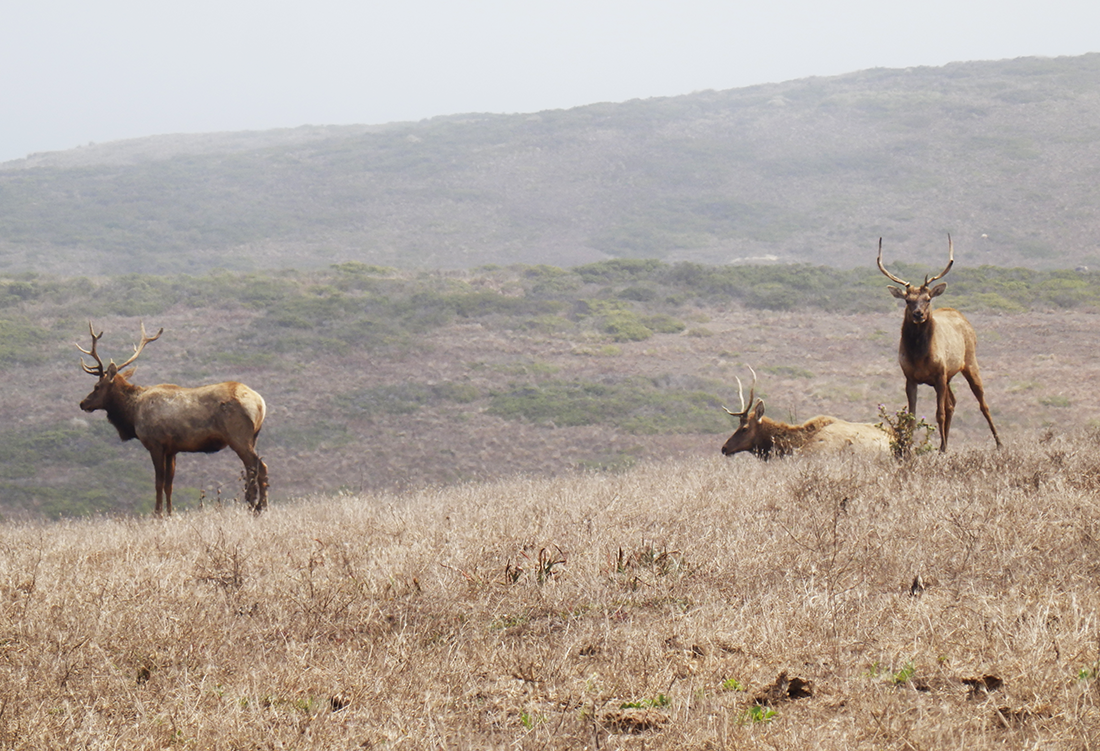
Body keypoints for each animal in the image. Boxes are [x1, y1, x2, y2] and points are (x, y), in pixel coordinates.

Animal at [77, 323, 268, 516]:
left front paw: (157, 514)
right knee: (254, 468)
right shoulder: (172, 449)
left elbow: (158, 482)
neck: (132, 413)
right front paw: (169, 513)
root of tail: (260, 403)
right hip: (253, 437)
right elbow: (169, 484)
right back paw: (258, 505)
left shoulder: (156, 443)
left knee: (258, 466)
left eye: (97, 386)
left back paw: (257, 506)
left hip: (238, 437)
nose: (83, 403)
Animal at [880, 235, 1003, 453]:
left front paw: (943, 448)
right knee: (953, 403)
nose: (918, 314)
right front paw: (909, 447)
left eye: (928, 298)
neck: (919, 356)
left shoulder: (939, 374)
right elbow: (912, 417)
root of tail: (961, 316)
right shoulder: (910, 377)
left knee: (982, 404)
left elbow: (940, 413)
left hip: (969, 363)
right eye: (907, 300)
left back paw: (998, 443)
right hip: (949, 377)